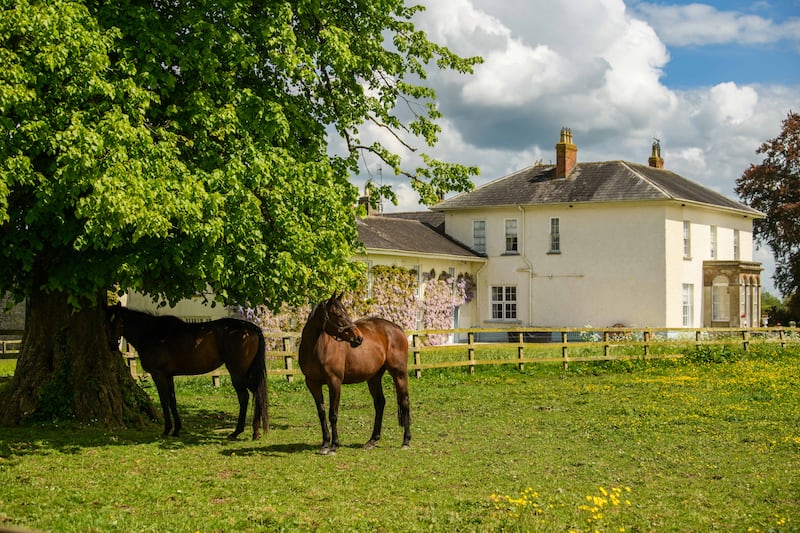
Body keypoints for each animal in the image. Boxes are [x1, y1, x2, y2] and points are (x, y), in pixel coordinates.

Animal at [106, 304, 269, 440]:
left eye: (118, 322)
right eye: (107, 321)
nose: (112, 345)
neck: (152, 333)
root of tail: (251, 329)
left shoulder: (158, 375)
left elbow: (164, 401)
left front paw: (167, 429)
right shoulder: (169, 376)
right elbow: (172, 401)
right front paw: (176, 429)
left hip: (237, 373)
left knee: (245, 397)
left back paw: (237, 432)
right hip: (247, 374)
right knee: (257, 394)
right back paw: (255, 432)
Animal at [298, 293, 411, 454]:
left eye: (346, 313)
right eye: (339, 315)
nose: (358, 338)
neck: (317, 348)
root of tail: (397, 329)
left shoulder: (334, 382)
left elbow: (333, 414)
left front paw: (334, 446)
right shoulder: (312, 383)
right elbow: (322, 413)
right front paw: (325, 445)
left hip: (399, 374)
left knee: (404, 401)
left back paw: (406, 441)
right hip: (374, 378)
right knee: (380, 403)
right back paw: (372, 440)